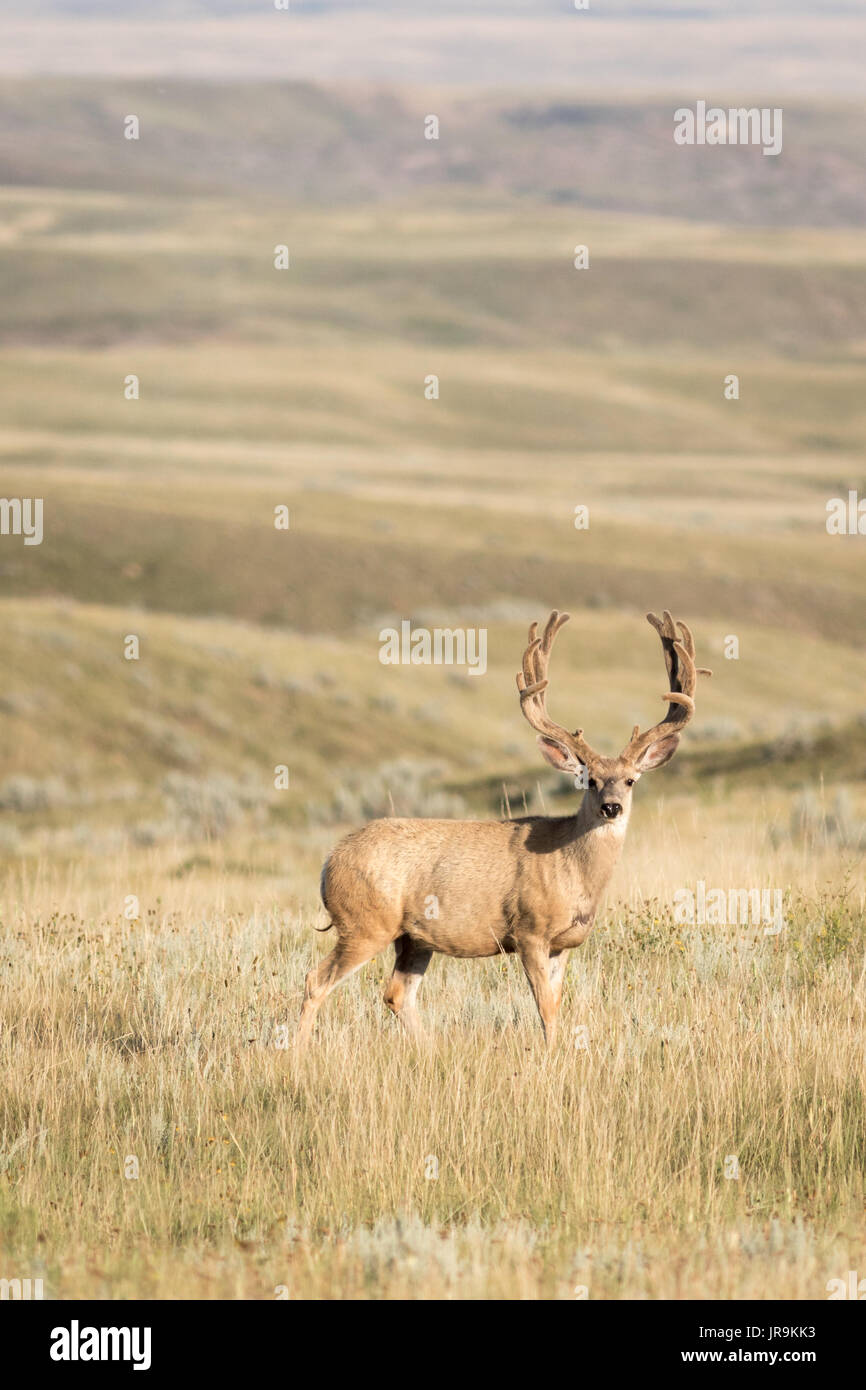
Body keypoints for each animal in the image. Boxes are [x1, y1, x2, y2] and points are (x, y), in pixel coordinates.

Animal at [297, 603, 711, 1045]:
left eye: (631, 780)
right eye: (590, 779)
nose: (611, 807)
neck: (571, 868)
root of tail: (329, 862)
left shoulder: (563, 945)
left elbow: (557, 1004)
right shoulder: (529, 930)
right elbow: (545, 1007)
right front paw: (551, 1054)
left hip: (414, 938)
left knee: (396, 993)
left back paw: (428, 1049)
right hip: (366, 923)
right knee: (316, 980)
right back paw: (297, 1051)